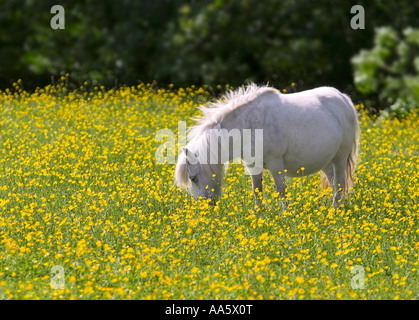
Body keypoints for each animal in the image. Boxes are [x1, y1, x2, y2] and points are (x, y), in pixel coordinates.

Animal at [176, 83, 360, 208]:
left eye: (193, 178)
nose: (204, 209)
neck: (249, 125)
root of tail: (344, 99)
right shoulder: (253, 166)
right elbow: (257, 190)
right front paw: (260, 214)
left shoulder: (275, 163)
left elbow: (281, 190)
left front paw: (287, 215)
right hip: (327, 161)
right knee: (333, 182)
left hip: (340, 158)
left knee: (339, 183)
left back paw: (336, 210)